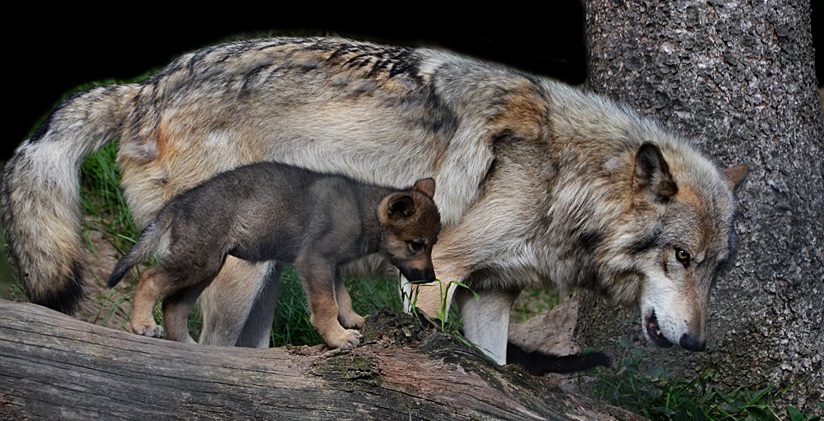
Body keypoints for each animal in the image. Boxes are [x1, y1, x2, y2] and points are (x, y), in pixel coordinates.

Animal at [0, 36, 748, 364]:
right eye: (680, 256)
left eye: (716, 268)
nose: (696, 342)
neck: (568, 172)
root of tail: (142, 88)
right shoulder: (440, 272)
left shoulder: (493, 298)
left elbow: (495, 371)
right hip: (234, 269)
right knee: (208, 339)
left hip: (266, 273)